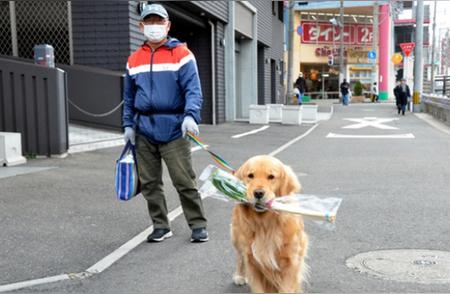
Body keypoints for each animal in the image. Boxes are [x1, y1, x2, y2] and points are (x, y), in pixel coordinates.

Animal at [230, 155, 308, 292]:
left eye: (271, 176)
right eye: (250, 175)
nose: (258, 193)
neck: (266, 224)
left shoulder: (291, 261)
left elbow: (287, 288)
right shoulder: (252, 261)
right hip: (237, 237)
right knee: (240, 256)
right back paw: (239, 276)